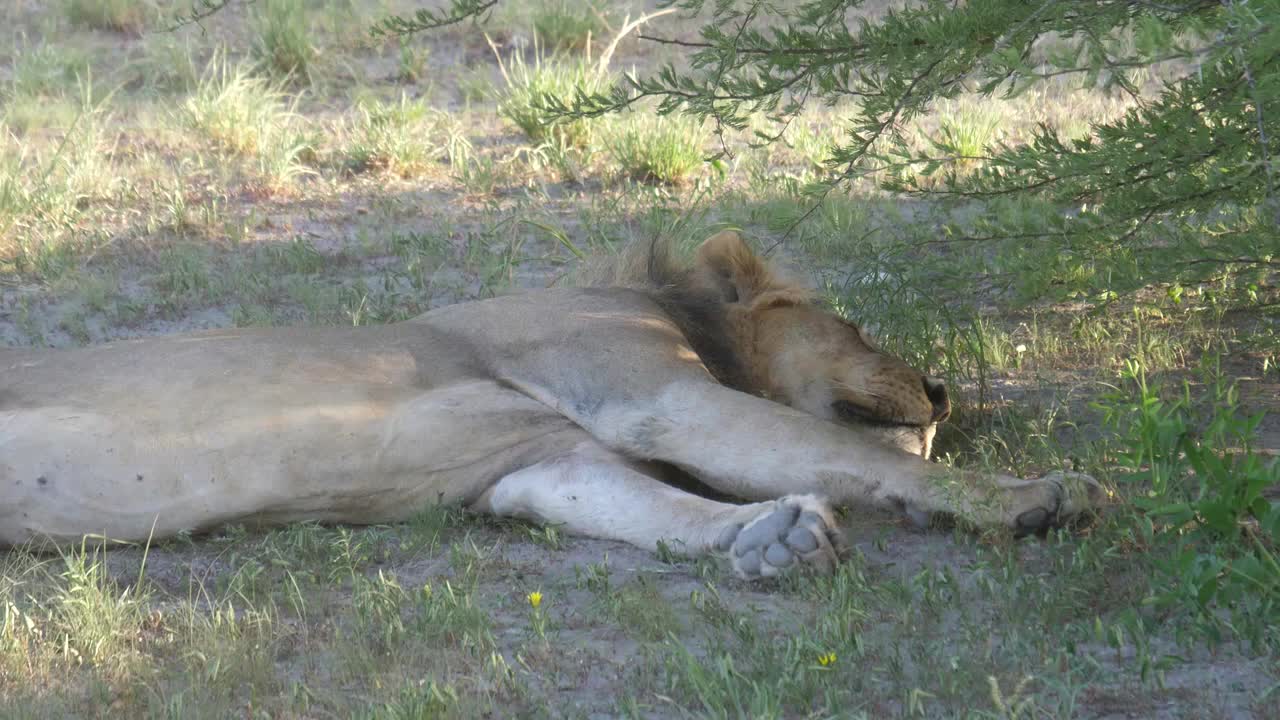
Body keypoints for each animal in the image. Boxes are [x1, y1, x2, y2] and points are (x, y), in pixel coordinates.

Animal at [0, 230, 1100, 576]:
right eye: (860, 328)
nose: (942, 392)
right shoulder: (654, 396)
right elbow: (857, 457)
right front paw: (1038, 497)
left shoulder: (546, 465)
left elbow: (656, 511)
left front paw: (770, 539)